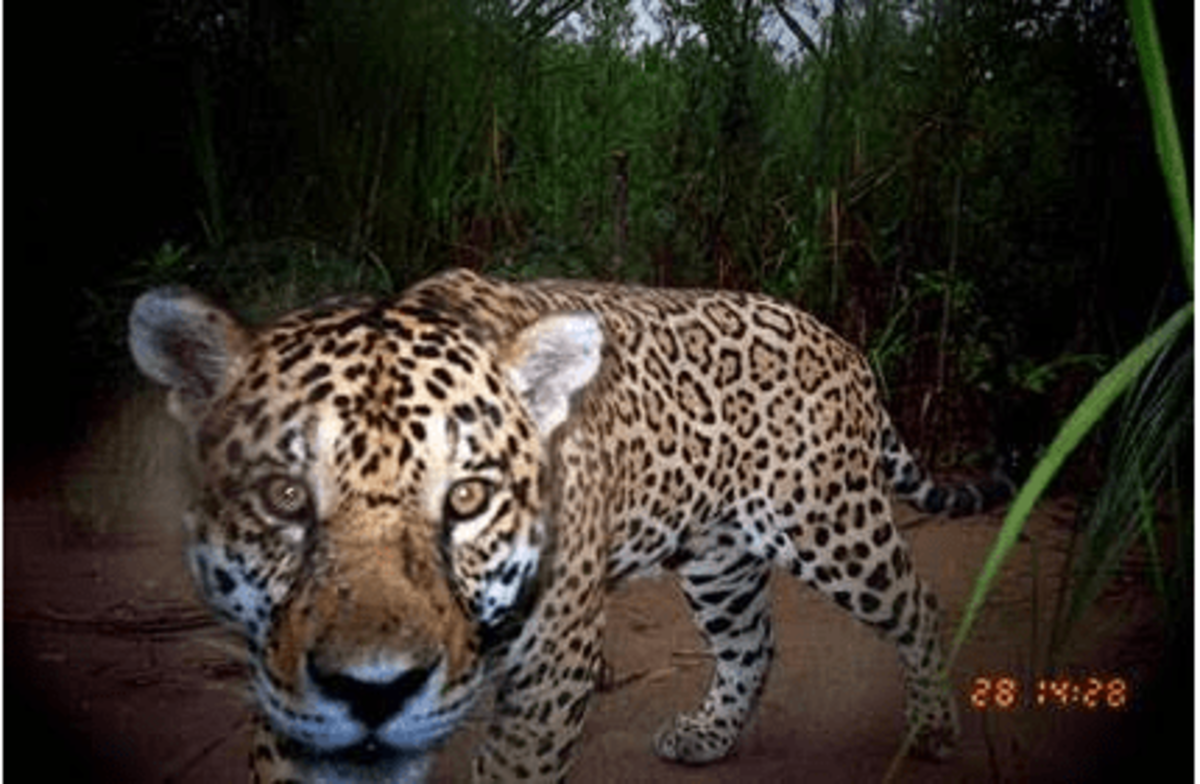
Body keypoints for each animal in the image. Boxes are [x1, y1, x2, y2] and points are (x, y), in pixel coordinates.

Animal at [128, 268, 1012, 783]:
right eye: (283, 497)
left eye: (468, 499)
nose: (373, 686)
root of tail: (845, 345)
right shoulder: (290, 684)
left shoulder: (553, 664)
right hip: (718, 557)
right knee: (752, 643)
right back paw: (708, 737)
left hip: (830, 521)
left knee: (918, 606)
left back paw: (933, 728)